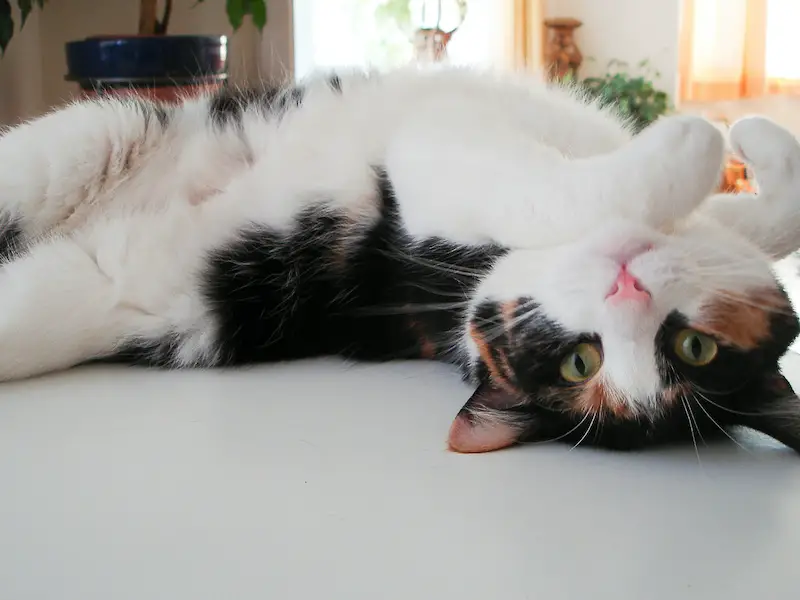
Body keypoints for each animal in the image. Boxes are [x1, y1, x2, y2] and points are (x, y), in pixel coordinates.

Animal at [1, 68, 800, 452]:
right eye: (582, 359)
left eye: (689, 351)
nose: (626, 287)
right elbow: (762, 218)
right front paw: (744, 132)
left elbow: (556, 187)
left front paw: (698, 137)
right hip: (98, 136)